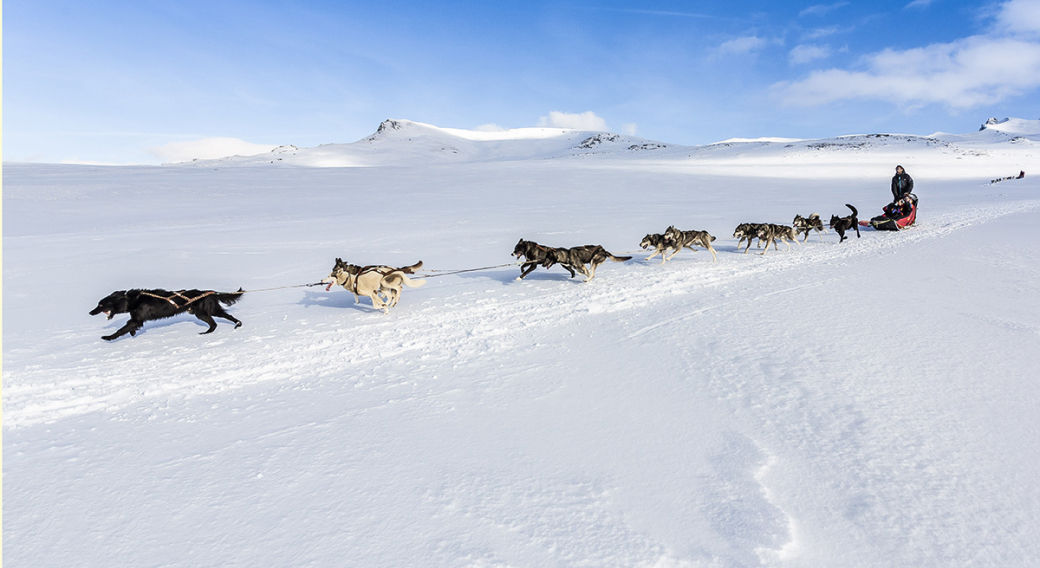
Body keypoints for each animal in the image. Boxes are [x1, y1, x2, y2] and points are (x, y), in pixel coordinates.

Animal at [89, 287, 243, 341]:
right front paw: (132, 333)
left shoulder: (137, 319)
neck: (132, 300)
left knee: (215, 323)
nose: (90, 312)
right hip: (210, 310)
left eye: (100, 304)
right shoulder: (136, 319)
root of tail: (211, 292)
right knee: (223, 319)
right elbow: (129, 327)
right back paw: (237, 324)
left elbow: (121, 330)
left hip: (201, 312)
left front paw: (108, 337)